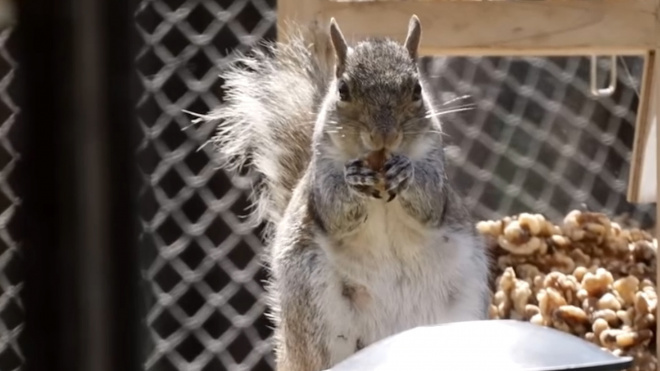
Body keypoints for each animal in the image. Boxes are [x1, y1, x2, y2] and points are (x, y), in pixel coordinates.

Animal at [206, 13, 490, 371]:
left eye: (416, 89)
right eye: (343, 90)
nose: (384, 135)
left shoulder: (435, 165)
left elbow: (430, 202)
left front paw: (406, 173)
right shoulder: (321, 175)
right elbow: (334, 209)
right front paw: (353, 179)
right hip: (317, 309)